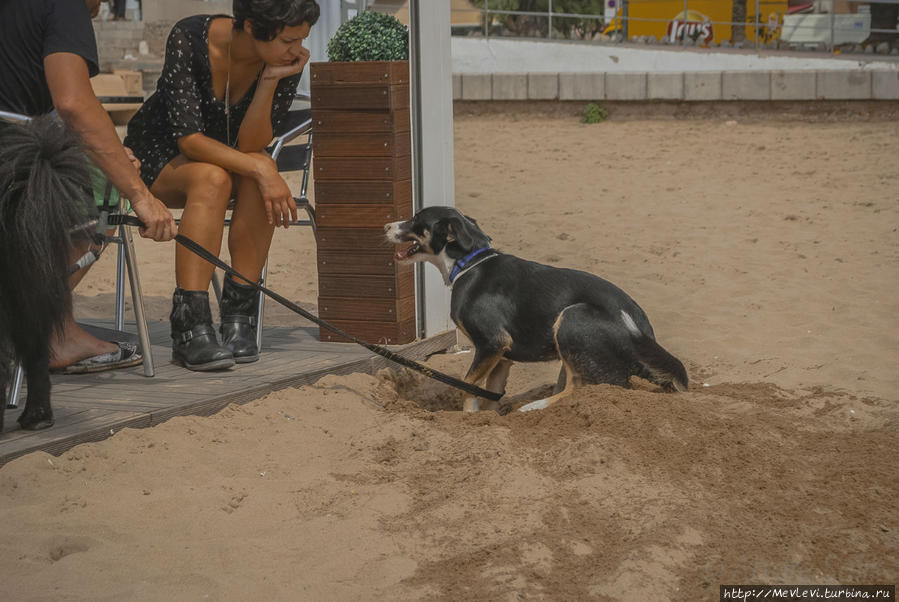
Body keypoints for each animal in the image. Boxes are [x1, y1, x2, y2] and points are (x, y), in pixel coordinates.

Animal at [384, 204, 684, 410]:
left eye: (416, 219)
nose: (385, 226)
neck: (470, 263)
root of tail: (644, 331)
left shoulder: (491, 343)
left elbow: (468, 387)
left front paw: (469, 416)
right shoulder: (501, 356)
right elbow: (490, 394)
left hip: (572, 317)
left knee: (585, 388)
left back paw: (534, 407)